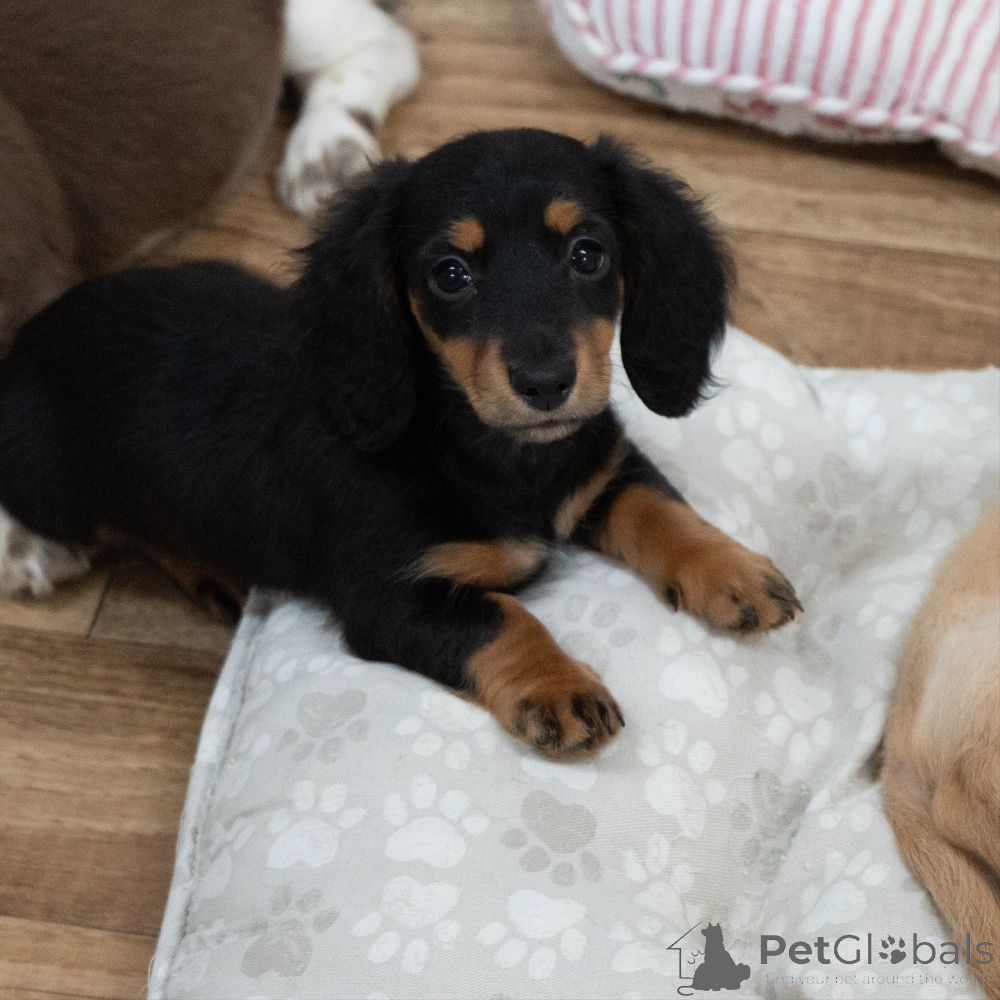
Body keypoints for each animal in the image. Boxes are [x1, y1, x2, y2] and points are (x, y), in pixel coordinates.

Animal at [0, 128, 801, 759]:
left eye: (587, 254)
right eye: (450, 273)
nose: (546, 383)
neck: (490, 452)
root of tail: (31, 336)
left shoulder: (601, 469)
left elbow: (660, 510)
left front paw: (733, 572)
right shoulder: (391, 597)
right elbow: (502, 616)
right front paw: (559, 686)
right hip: (56, 485)